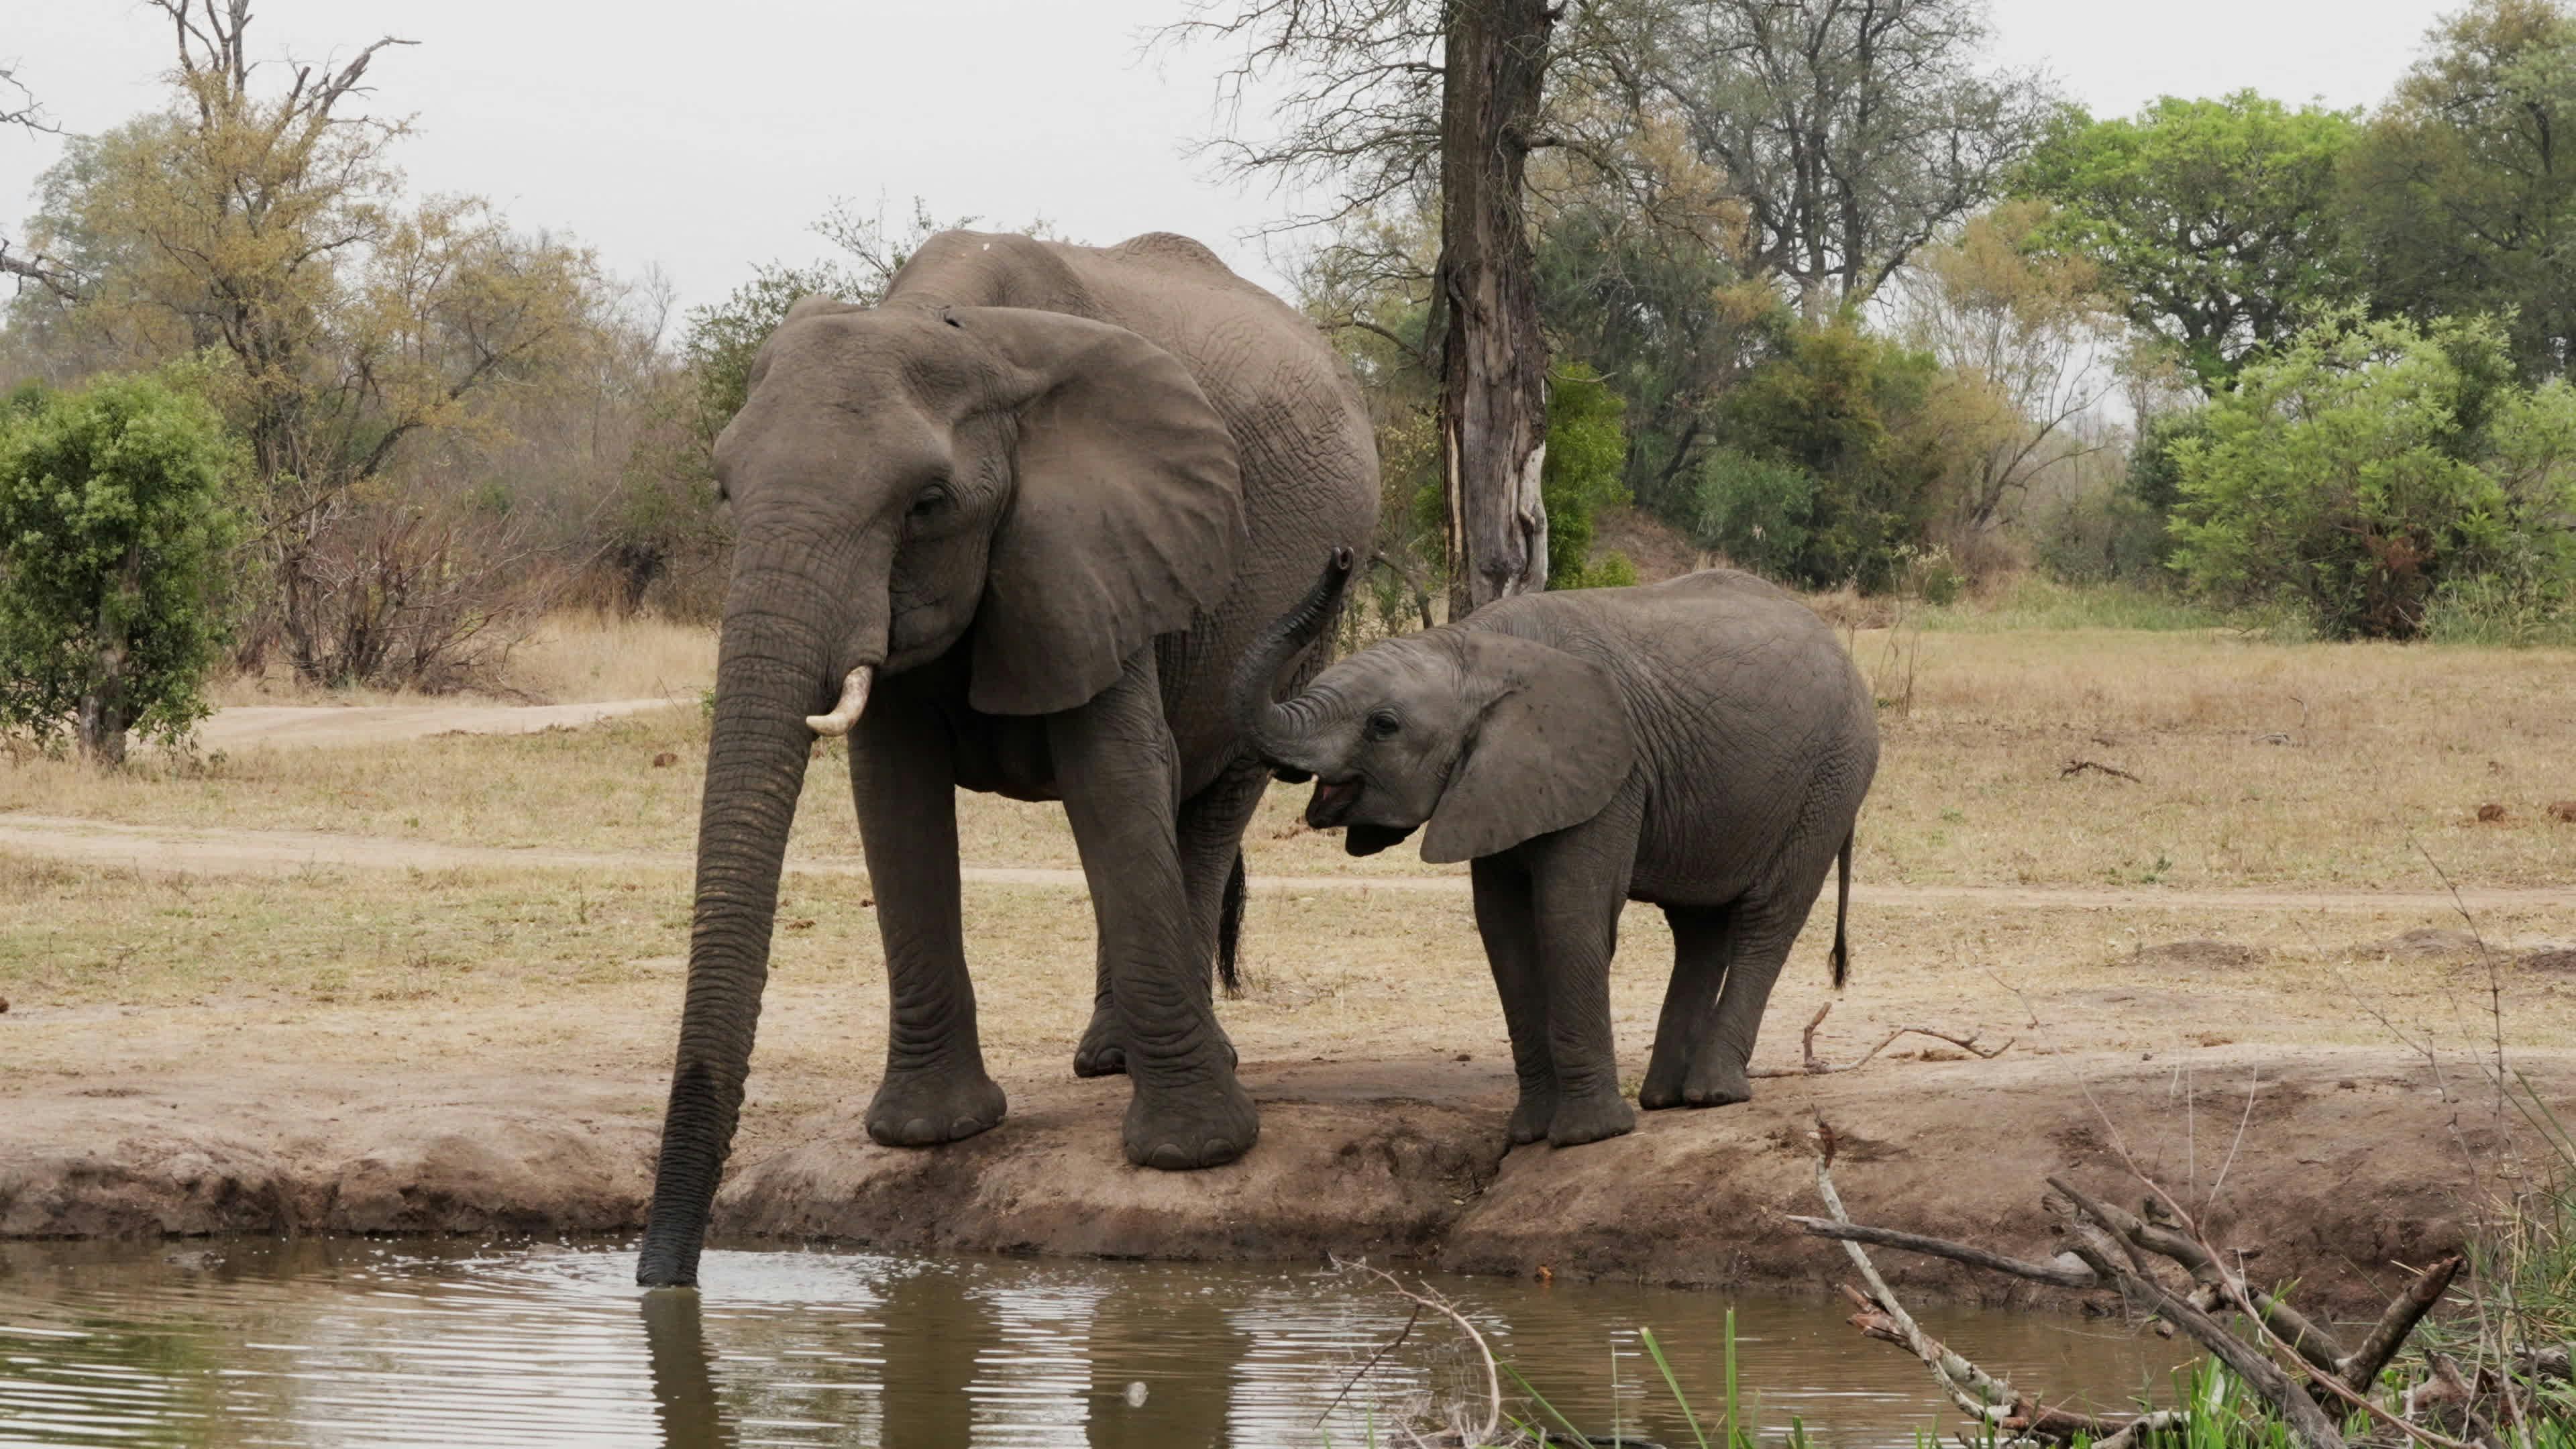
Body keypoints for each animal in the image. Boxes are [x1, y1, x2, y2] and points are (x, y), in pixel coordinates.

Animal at [634, 231, 1377, 1287]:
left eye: (927, 504)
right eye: (724, 492)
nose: (662, 1278)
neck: (968, 338)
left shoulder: (1102, 543)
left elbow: (1113, 776)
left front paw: (1195, 1156)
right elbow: (895, 801)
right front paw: (928, 1135)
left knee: (1205, 808)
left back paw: (1145, 1060)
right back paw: (1109, 1058)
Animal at [1233, 552, 1878, 1148]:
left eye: (1383, 725)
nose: (1341, 558)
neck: (1476, 651)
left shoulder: (1610, 773)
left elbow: (1570, 918)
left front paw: (1587, 1137)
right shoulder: (1494, 784)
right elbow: (1504, 933)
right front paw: (1527, 1135)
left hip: (1831, 778)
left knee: (1767, 920)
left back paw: (1713, 1094)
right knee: (1697, 928)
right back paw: (1667, 1100)